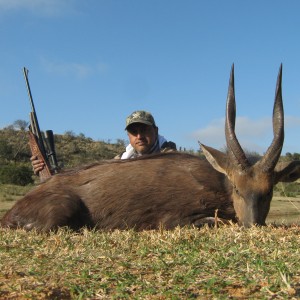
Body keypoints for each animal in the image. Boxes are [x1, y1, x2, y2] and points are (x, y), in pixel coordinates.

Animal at [1, 64, 298, 231]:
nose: (252, 226)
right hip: (60, 213)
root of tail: (11, 213)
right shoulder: (172, 219)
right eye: (237, 188)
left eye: (268, 192)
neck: (217, 183)